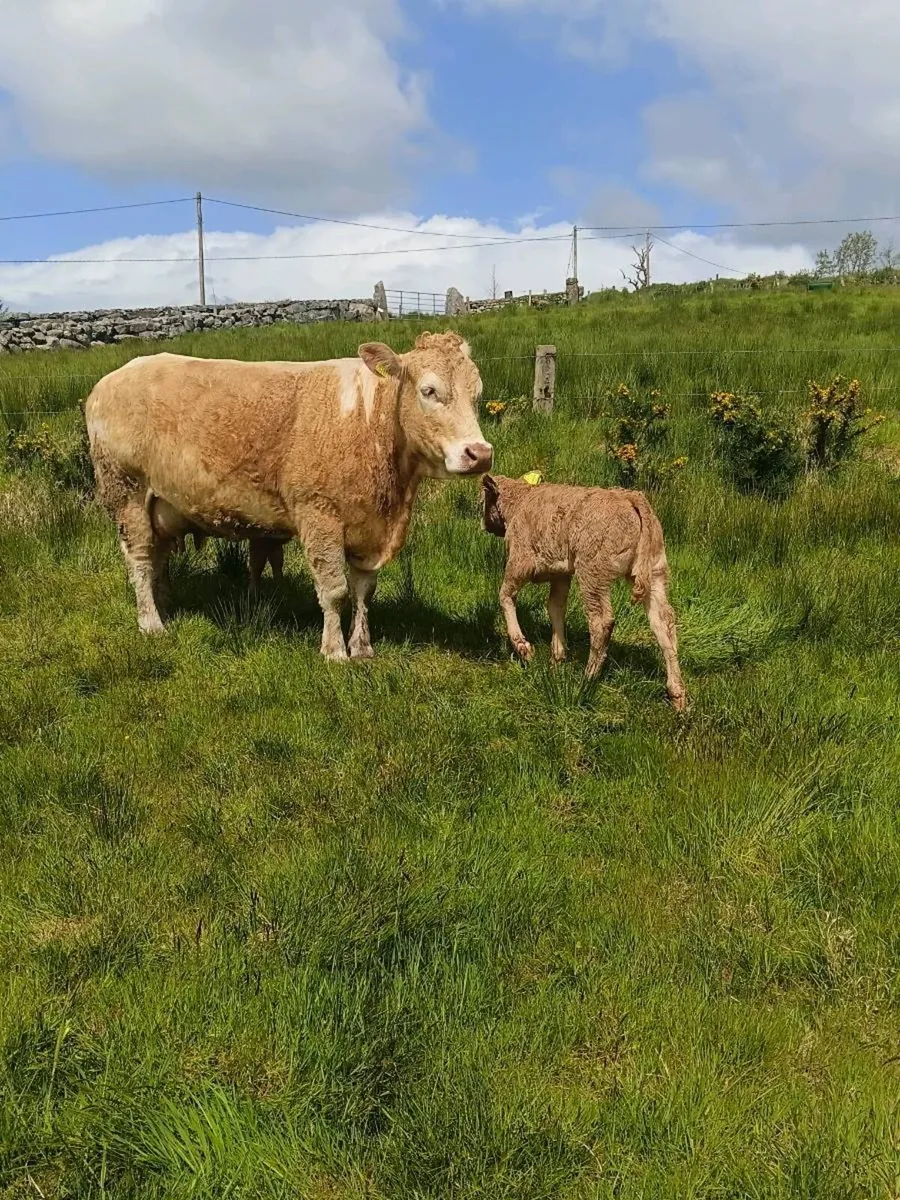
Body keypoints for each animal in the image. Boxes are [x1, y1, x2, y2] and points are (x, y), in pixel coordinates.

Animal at [85, 331, 492, 660]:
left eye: (477, 394)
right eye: (429, 391)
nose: (480, 453)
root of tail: (111, 380)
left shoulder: (370, 527)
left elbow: (363, 591)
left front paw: (362, 647)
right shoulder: (319, 515)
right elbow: (334, 590)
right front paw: (334, 651)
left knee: (157, 559)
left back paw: (165, 604)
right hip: (127, 492)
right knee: (139, 560)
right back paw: (151, 623)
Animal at [481, 475, 687, 710]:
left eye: (483, 499)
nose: (484, 524)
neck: (521, 501)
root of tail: (630, 497)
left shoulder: (520, 560)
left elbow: (505, 595)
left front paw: (523, 647)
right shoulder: (561, 573)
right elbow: (555, 607)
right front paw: (557, 658)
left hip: (592, 573)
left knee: (601, 622)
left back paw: (587, 680)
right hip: (655, 571)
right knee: (664, 621)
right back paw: (677, 695)